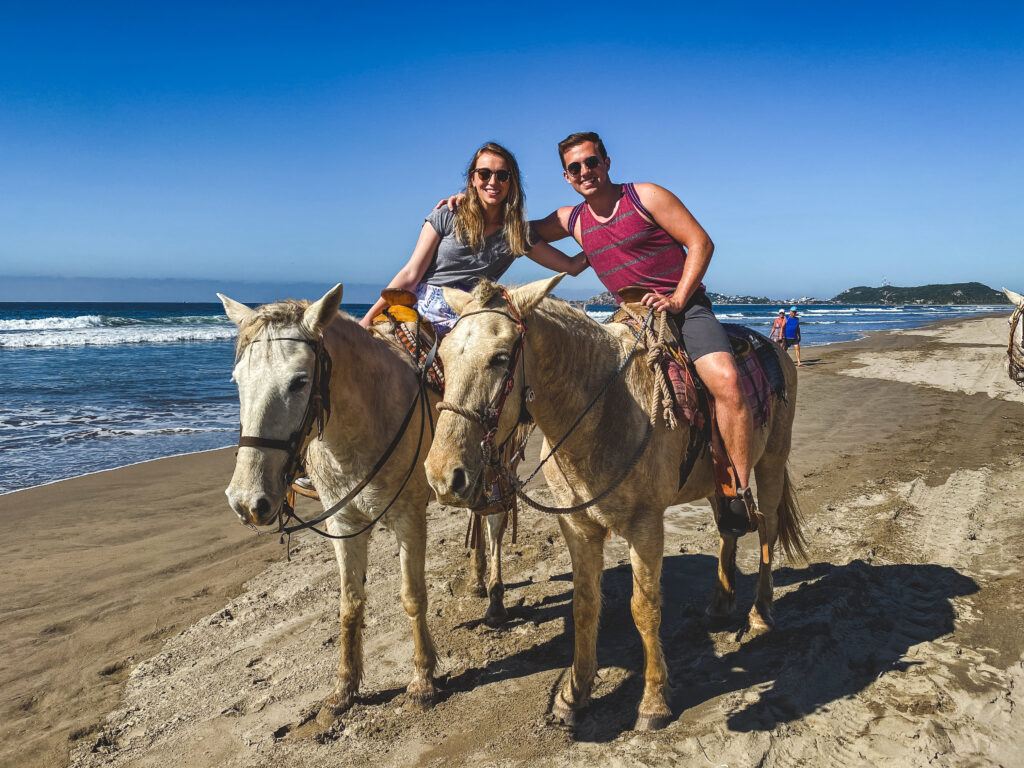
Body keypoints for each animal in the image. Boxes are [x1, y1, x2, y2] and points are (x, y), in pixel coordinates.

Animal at [219, 286, 436, 720]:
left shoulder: (410, 517)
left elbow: (412, 596)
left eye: (299, 382)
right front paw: (344, 688)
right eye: (237, 381)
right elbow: (349, 603)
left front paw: (422, 679)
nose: (247, 502)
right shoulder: (344, 523)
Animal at [423, 276, 806, 733]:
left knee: (766, 531)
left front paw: (654, 702)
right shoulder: (579, 527)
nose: (443, 476)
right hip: (720, 481)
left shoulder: (646, 527)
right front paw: (574, 695)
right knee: (727, 530)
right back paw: (720, 603)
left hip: (771, 462)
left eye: (500, 358)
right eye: (442, 358)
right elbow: (586, 607)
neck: (603, 410)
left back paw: (760, 613)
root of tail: (773, 348)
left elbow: (645, 609)